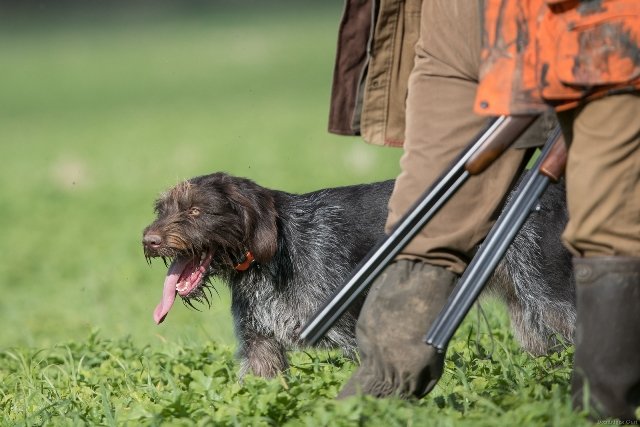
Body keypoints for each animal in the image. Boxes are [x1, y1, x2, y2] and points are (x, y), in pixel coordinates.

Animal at [141, 173, 576, 378]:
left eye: (197, 211)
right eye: (162, 209)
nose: (149, 240)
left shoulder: (354, 337)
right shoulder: (260, 346)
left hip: (554, 299)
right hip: (528, 312)